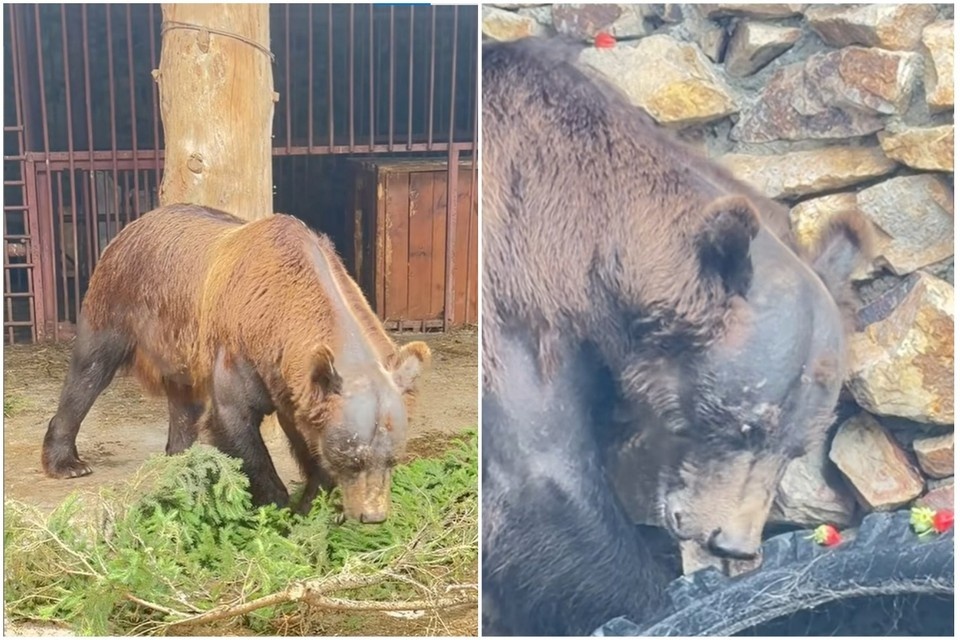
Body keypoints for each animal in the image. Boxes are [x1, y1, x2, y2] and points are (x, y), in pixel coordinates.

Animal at [41, 204, 431, 524]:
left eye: (393, 458)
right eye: (353, 458)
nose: (373, 516)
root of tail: (135, 222)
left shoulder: (289, 381)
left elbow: (304, 436)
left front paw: (312, 501)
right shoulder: (241, 352)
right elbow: (236, 423)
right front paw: (276, 506)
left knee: (184, 403)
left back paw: (181, 461)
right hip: (118, 300)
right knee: (89, 370)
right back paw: (67, 463)